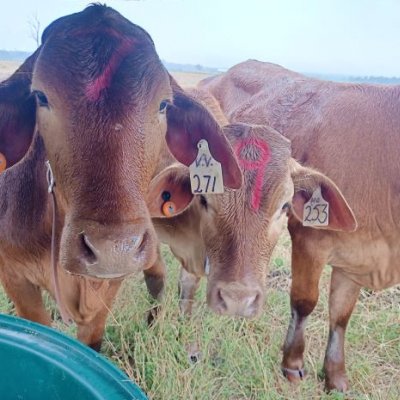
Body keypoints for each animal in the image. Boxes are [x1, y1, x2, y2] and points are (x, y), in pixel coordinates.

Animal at [198, 59, 400, 390]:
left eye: (284, 204)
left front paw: (335, 376)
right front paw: (292, 364)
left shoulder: (355, 257)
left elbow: (341, 314)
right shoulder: (310, 241)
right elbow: (305, 301)